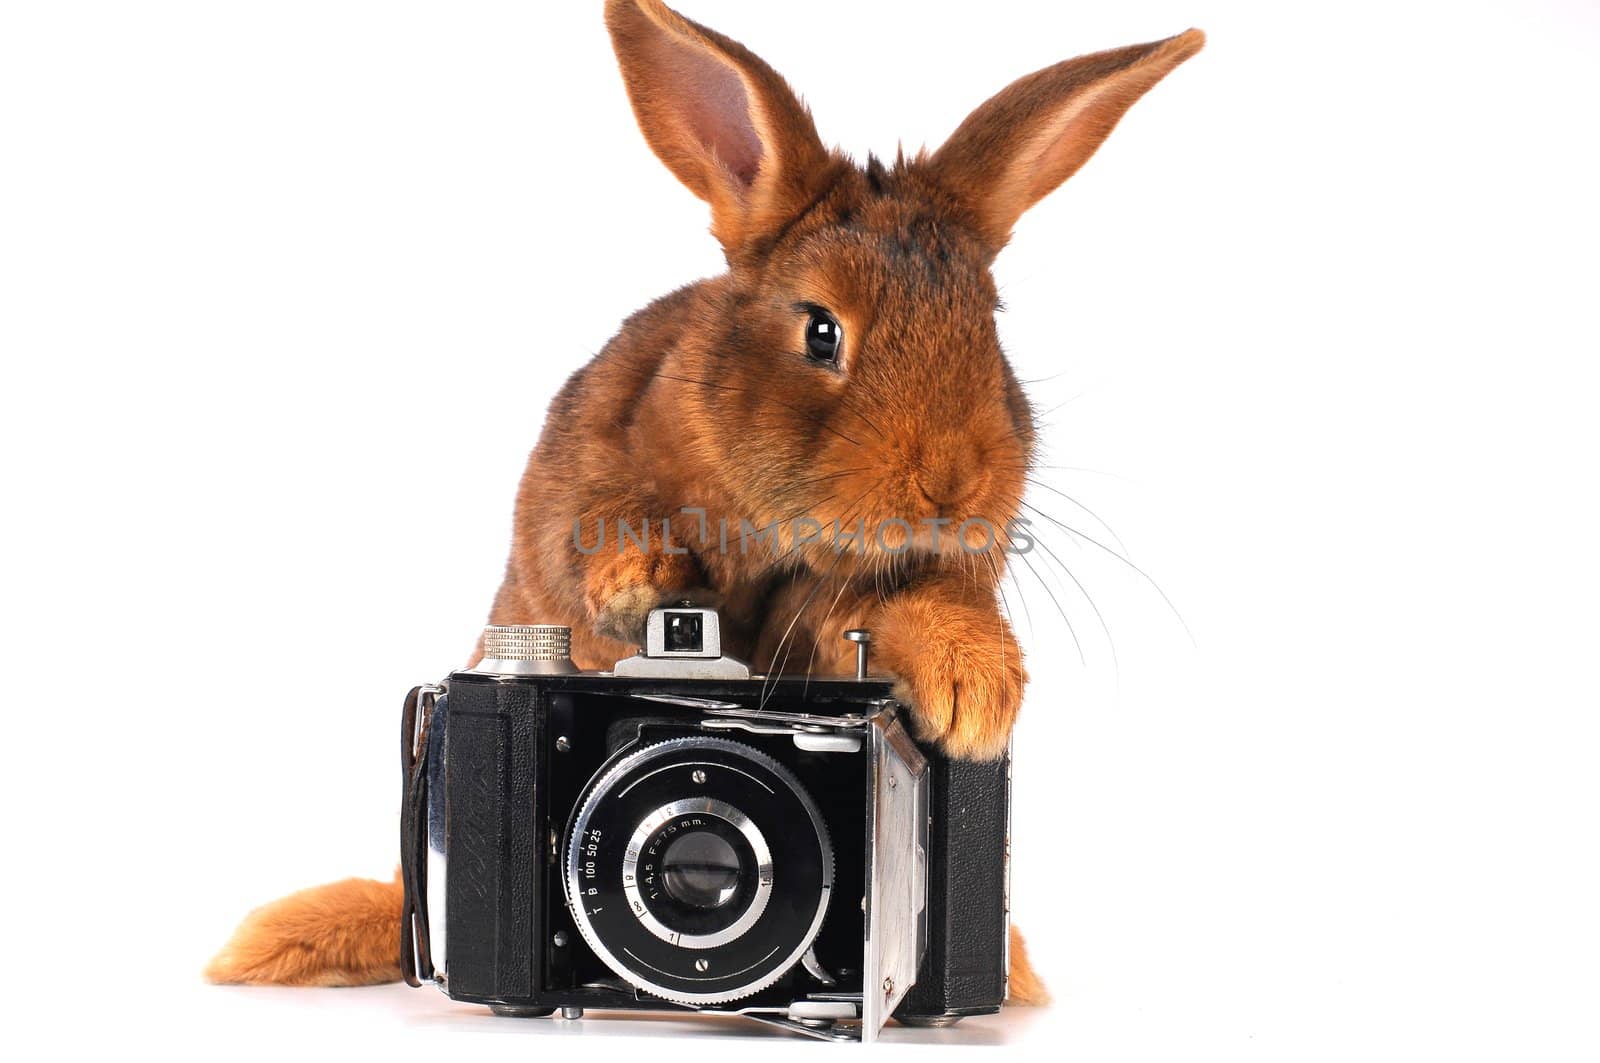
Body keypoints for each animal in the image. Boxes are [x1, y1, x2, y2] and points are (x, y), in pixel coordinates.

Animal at [206, 0, 1203, 1011]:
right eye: (821, 330)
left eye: (987, 327)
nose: (954, 485)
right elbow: (602, 538)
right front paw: (640, 576)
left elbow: (905, 613)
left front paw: (976, 690)